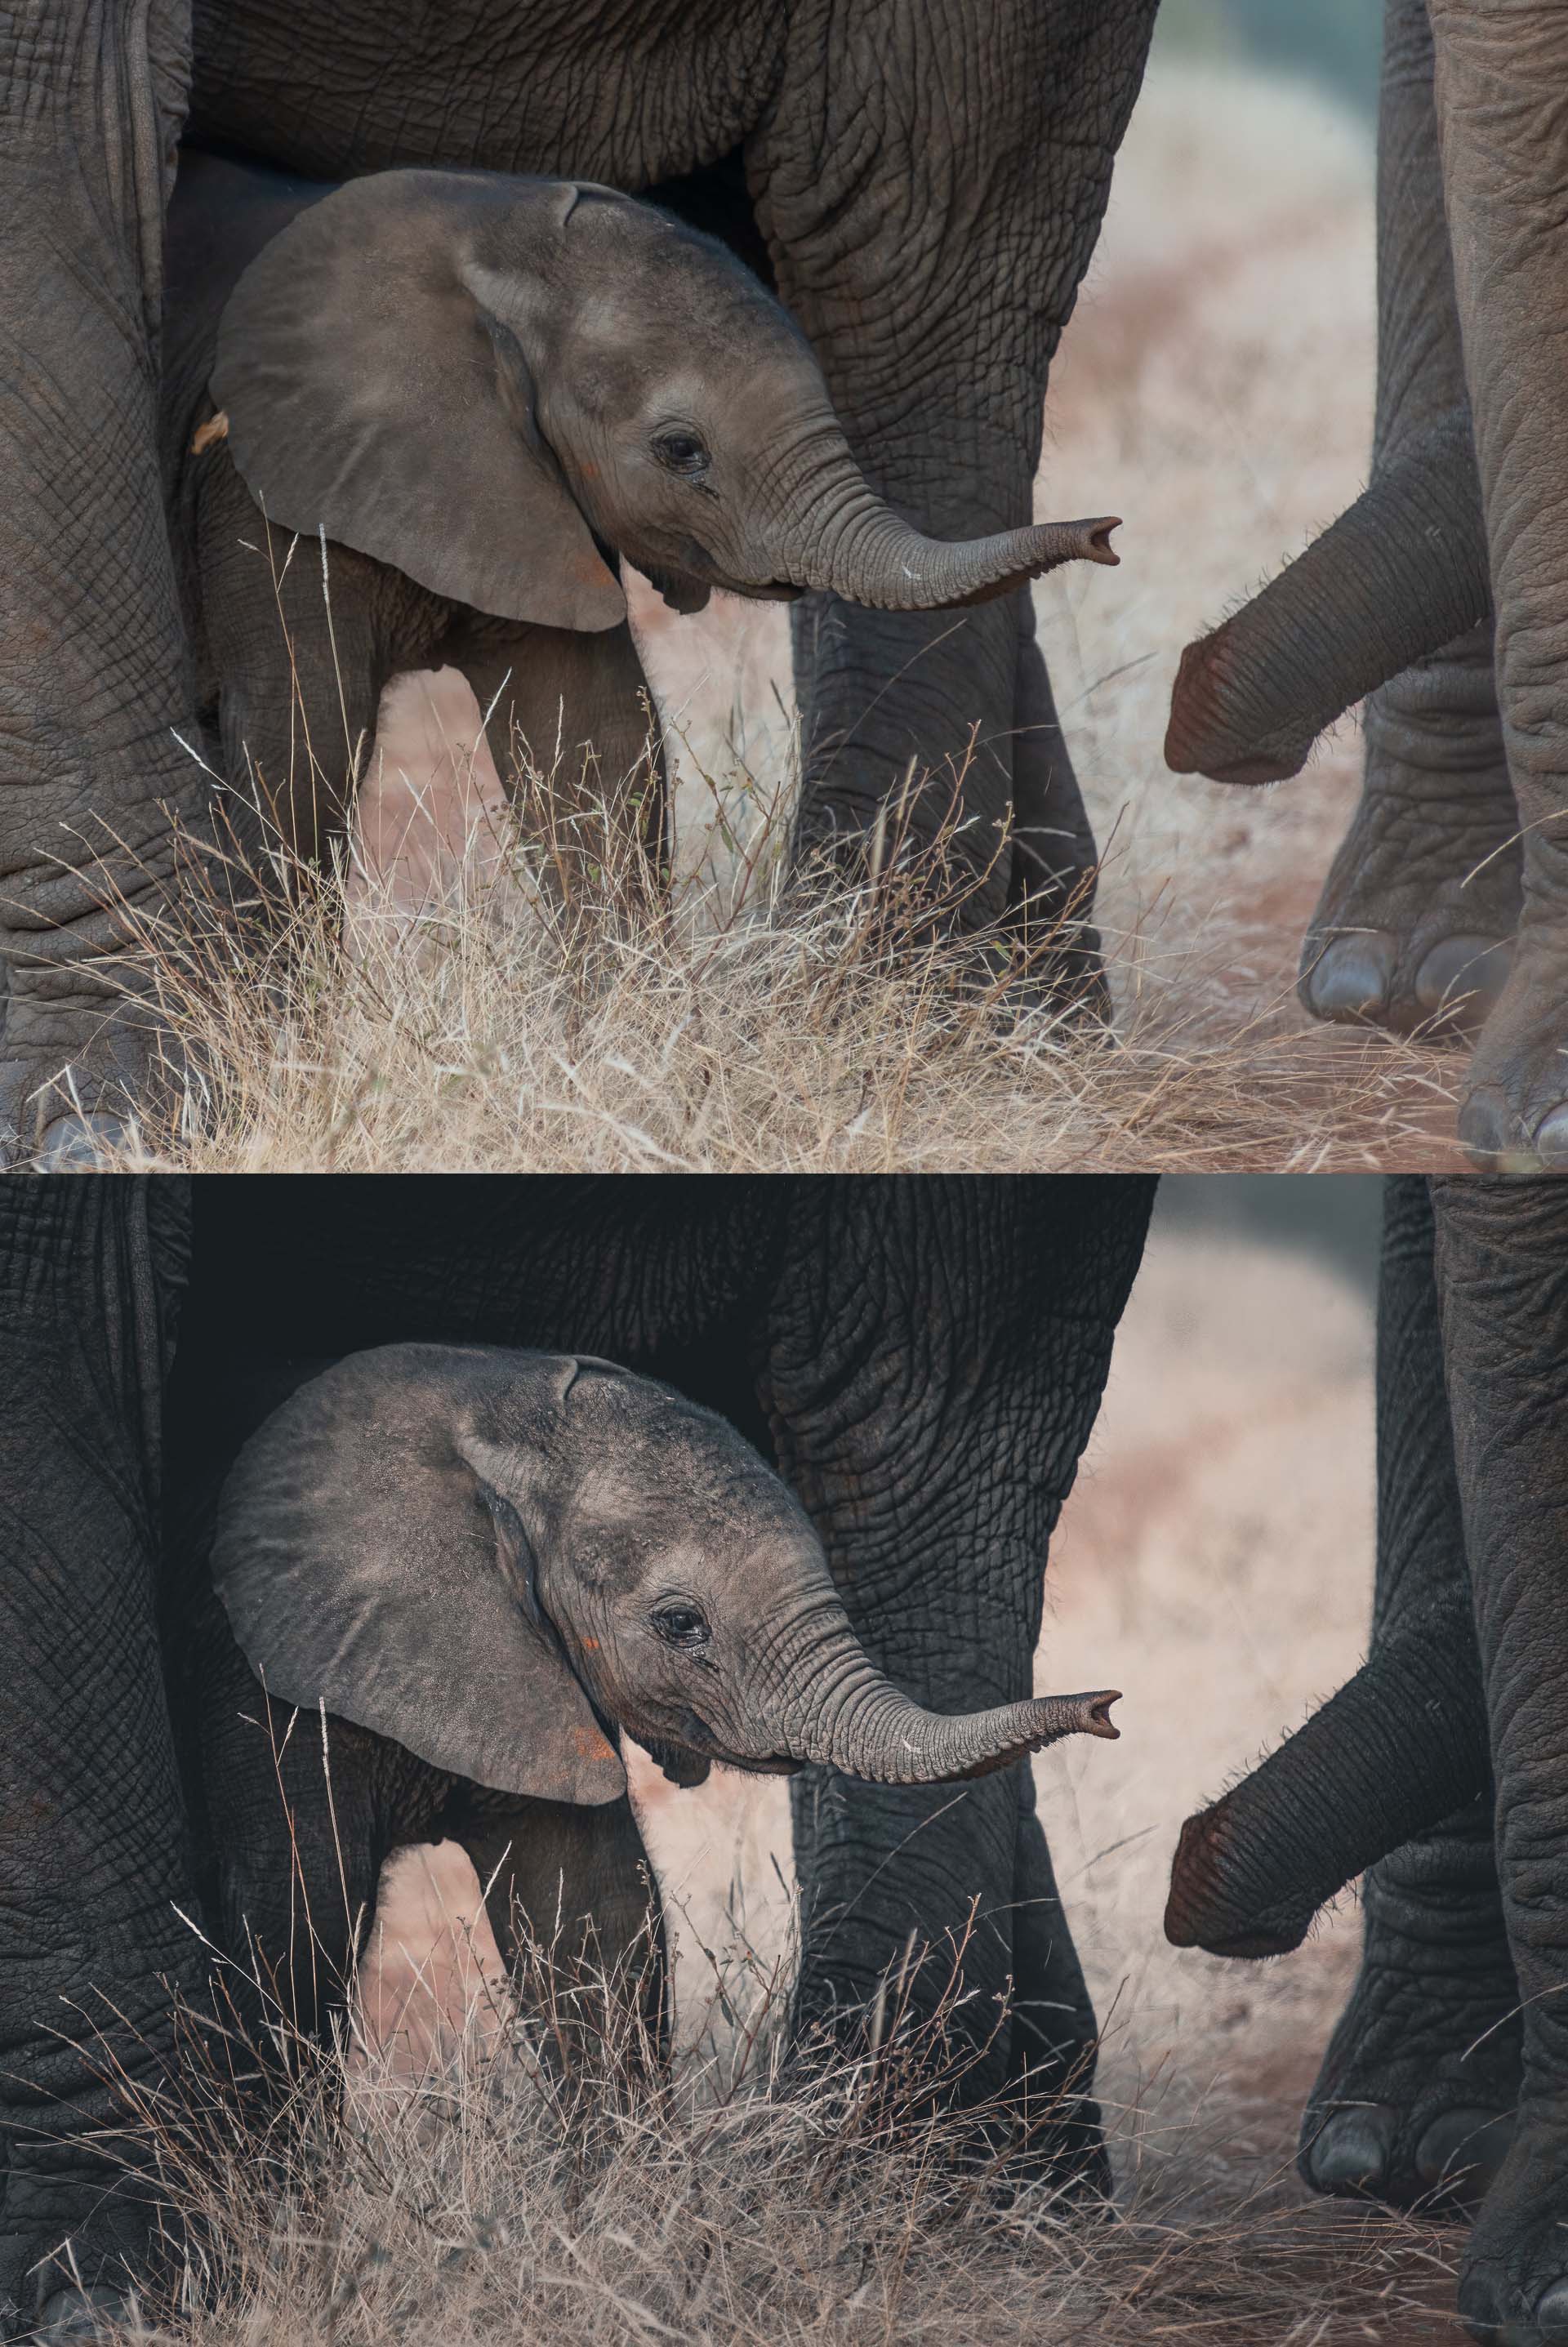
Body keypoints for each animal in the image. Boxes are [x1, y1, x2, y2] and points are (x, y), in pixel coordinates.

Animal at [0, 1171, 1155, 2337]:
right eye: (681, 1624)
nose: (1108, 1708)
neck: (487, 1427)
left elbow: (593, 1920)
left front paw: (632, 2232)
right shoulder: (261, 1664)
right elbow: (291, 1920)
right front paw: (273, 2233)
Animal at [164, 152, 1117, 888]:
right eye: (681, 451)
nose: (1105, 535)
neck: (490, 234)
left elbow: (596, 745)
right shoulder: (258, 484)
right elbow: (300, 747)